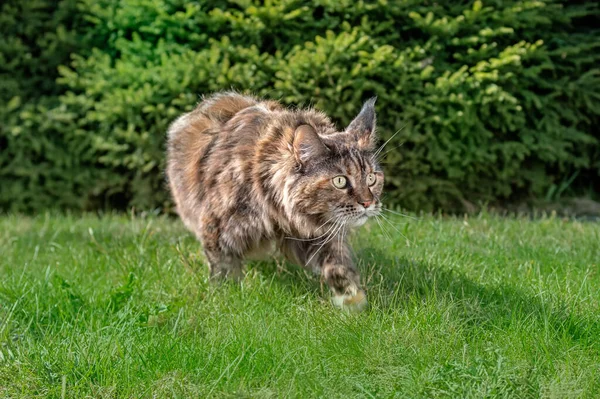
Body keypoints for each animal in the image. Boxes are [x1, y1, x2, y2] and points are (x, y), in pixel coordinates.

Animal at [166, 91, 384, 312]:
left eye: (371, 178)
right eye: (340, 181)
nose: (368, 203)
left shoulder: (314, 235)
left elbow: (338, 265)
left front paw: (351, 299)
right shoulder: (216, 229)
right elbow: (224, 271)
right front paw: (224, 298)